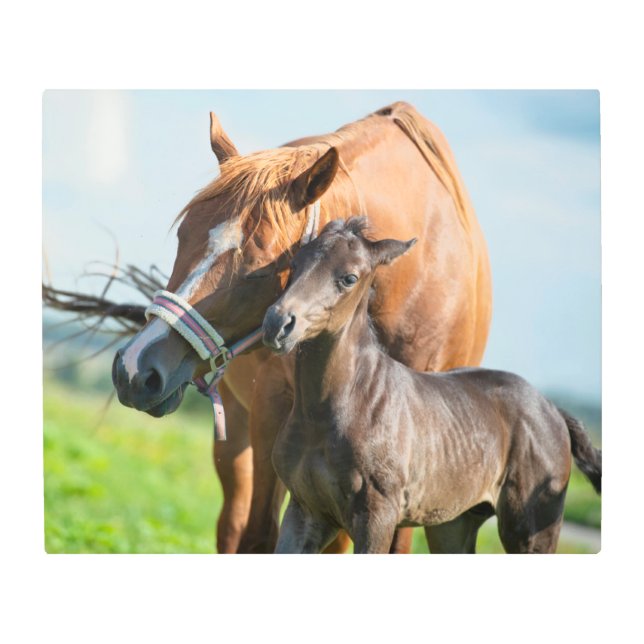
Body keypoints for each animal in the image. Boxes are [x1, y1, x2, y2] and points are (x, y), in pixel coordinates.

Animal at [111, 101, 493, 553]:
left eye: (263, 267)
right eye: (182, 237)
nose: (134, 369)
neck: (416, 274)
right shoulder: (273, 410)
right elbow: (258, 536)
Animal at [262, 217, 602, 553]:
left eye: (349, 278)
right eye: (295, 263)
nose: (277, 324)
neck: (328, 412)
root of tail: (553, 410)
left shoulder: (377, 516)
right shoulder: (306, 512)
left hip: (530, 531)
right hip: (454, 524)